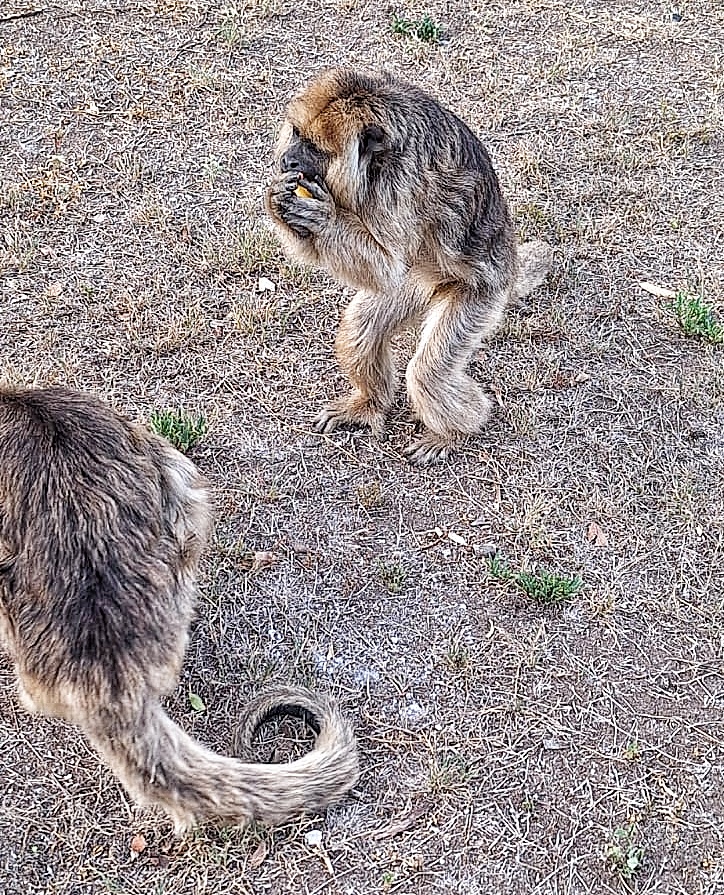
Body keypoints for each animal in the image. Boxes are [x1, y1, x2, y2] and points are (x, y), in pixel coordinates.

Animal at [266, 66, 556, 466]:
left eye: (314, 149)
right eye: (296, 134)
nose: (289, 160)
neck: (374, 159)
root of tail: (509, 266)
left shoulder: (401, 183)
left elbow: (386, 266)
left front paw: (322, 217)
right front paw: (276, 197)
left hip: (481, 295)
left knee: (428, 371)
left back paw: (455, 432)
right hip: (416, 284)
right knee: (359, 331)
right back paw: (368, 404)